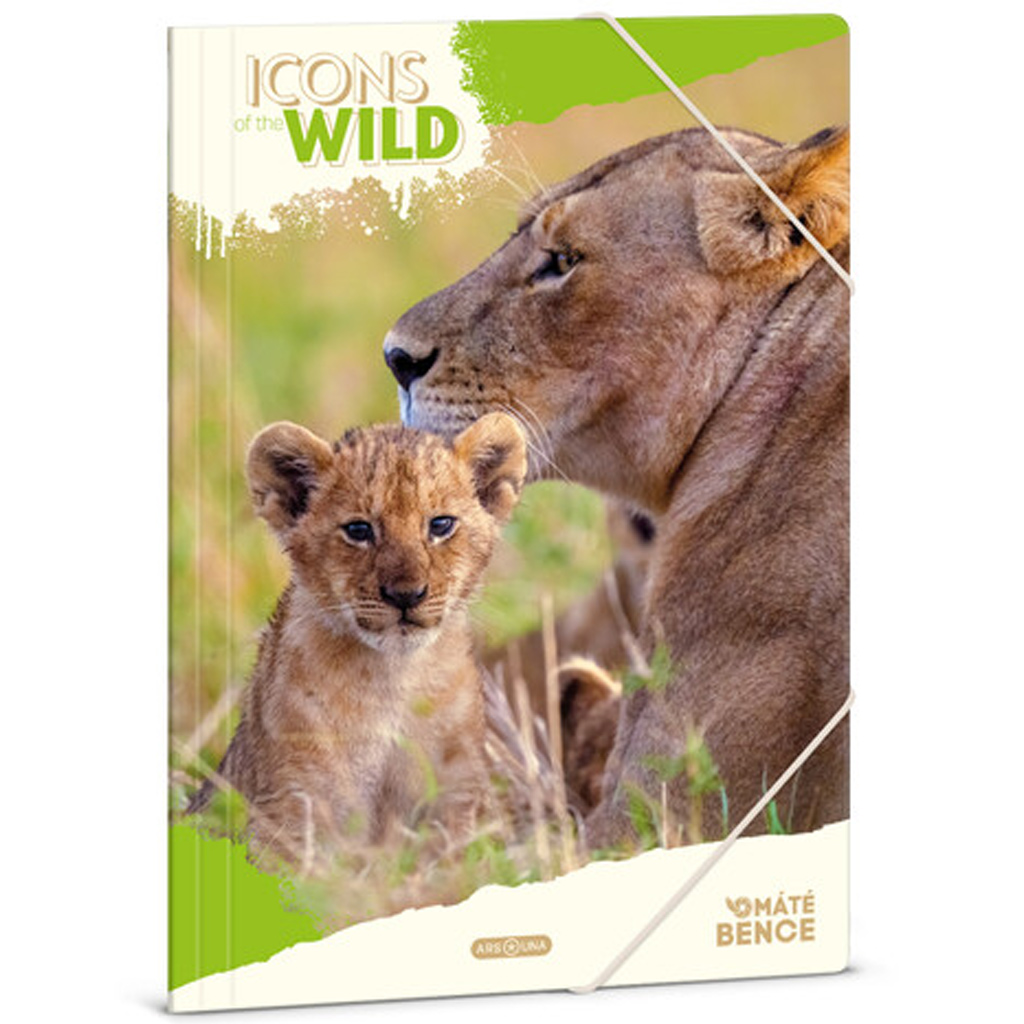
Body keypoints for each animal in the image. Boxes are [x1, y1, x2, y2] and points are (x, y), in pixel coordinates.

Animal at [187, 413, 527, 867]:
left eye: (440, 525)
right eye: (359, 530)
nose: (406, 595)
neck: (393, 680)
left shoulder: (457, 799)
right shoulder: (289, 809)